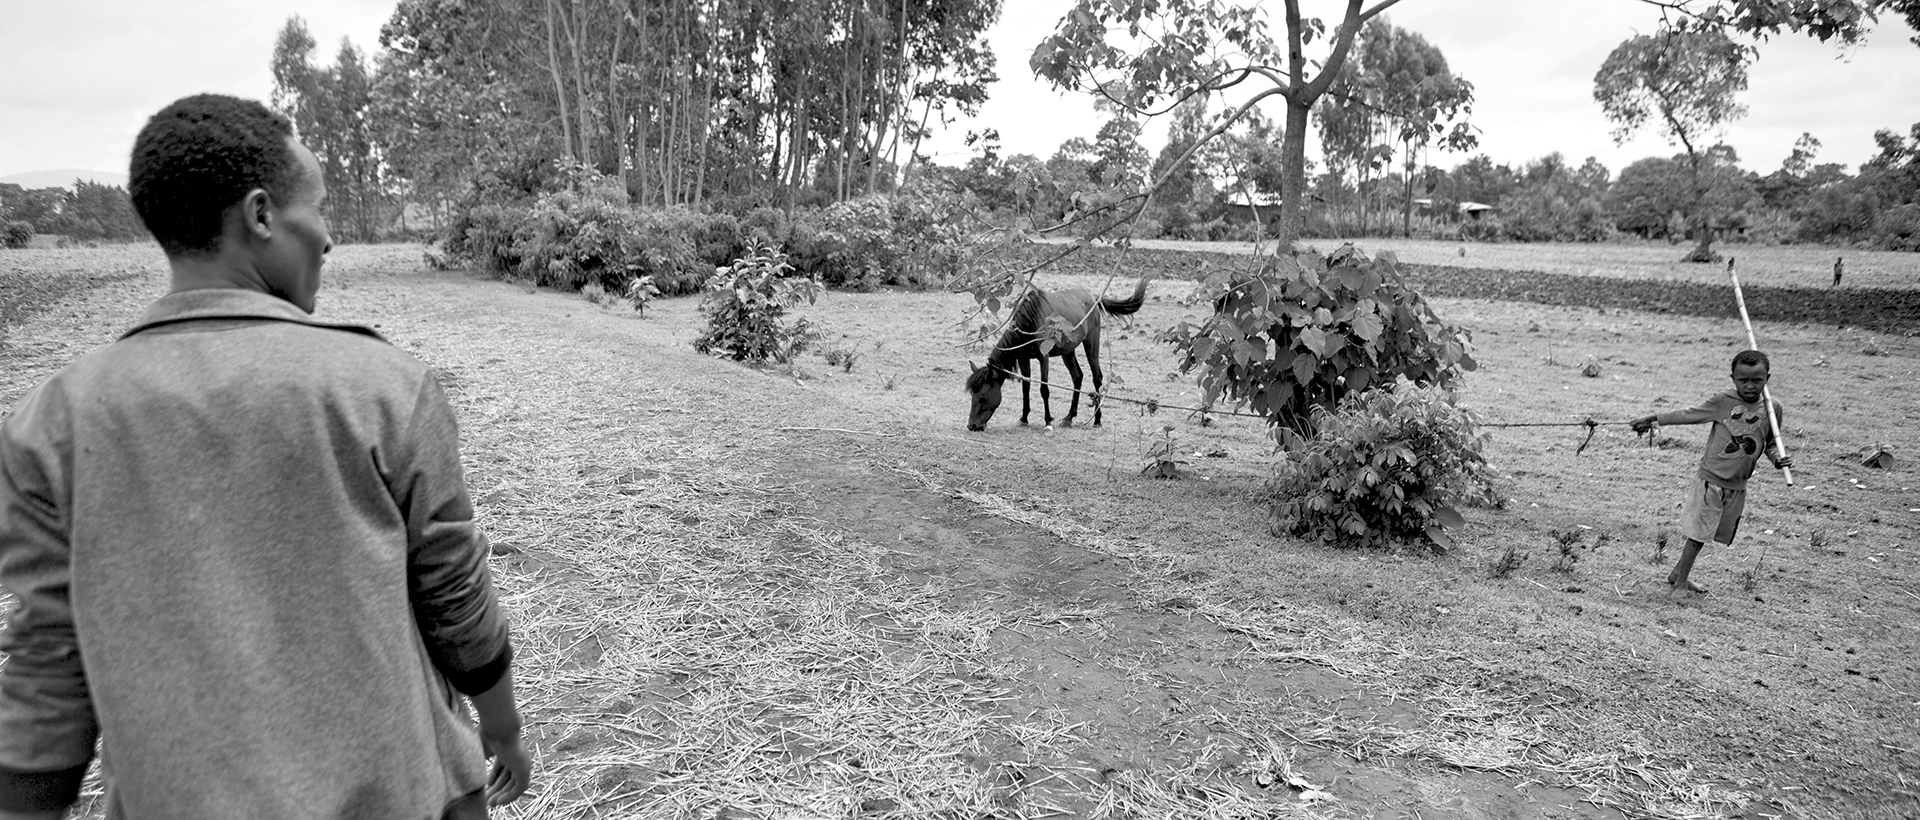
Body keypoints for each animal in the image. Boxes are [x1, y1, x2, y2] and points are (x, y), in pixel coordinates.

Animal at [967, 276, 1144, 430]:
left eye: (982, 397)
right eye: (972, 395)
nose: (972, 426)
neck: (1030, 323)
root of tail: (1093, 297)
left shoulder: (1043, 358)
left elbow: (1044, 389)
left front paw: (1047, 421)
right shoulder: (1024, 358)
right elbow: (1026, 386)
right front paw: (1024, 418)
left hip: (1091, 345)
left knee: (1097, 378)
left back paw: (1097, 420)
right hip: (1068, 351)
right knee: (1077, 376)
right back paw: (1069, 417)